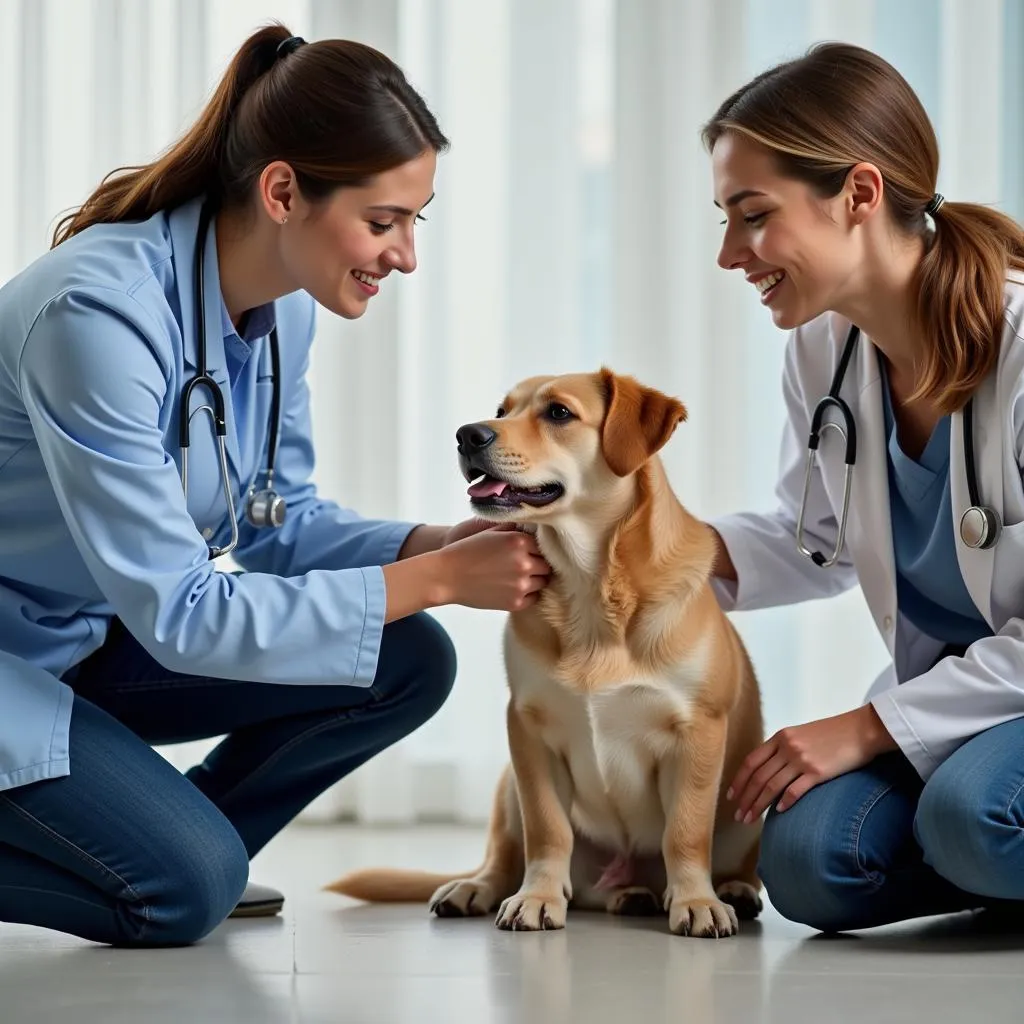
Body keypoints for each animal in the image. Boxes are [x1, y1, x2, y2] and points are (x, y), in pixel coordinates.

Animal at [323, 368, 765, 937]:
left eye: (559, 412)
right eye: (502, 409)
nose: (468, 434)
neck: (591, 586)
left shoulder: (698, 731)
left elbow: (685, 832)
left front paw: (697, 901)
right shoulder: (529, 732)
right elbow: (548, 829)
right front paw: (536, 898)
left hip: (746, 812)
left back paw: (720, 890)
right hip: (507, 787)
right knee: (504, 858)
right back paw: (481, 889)